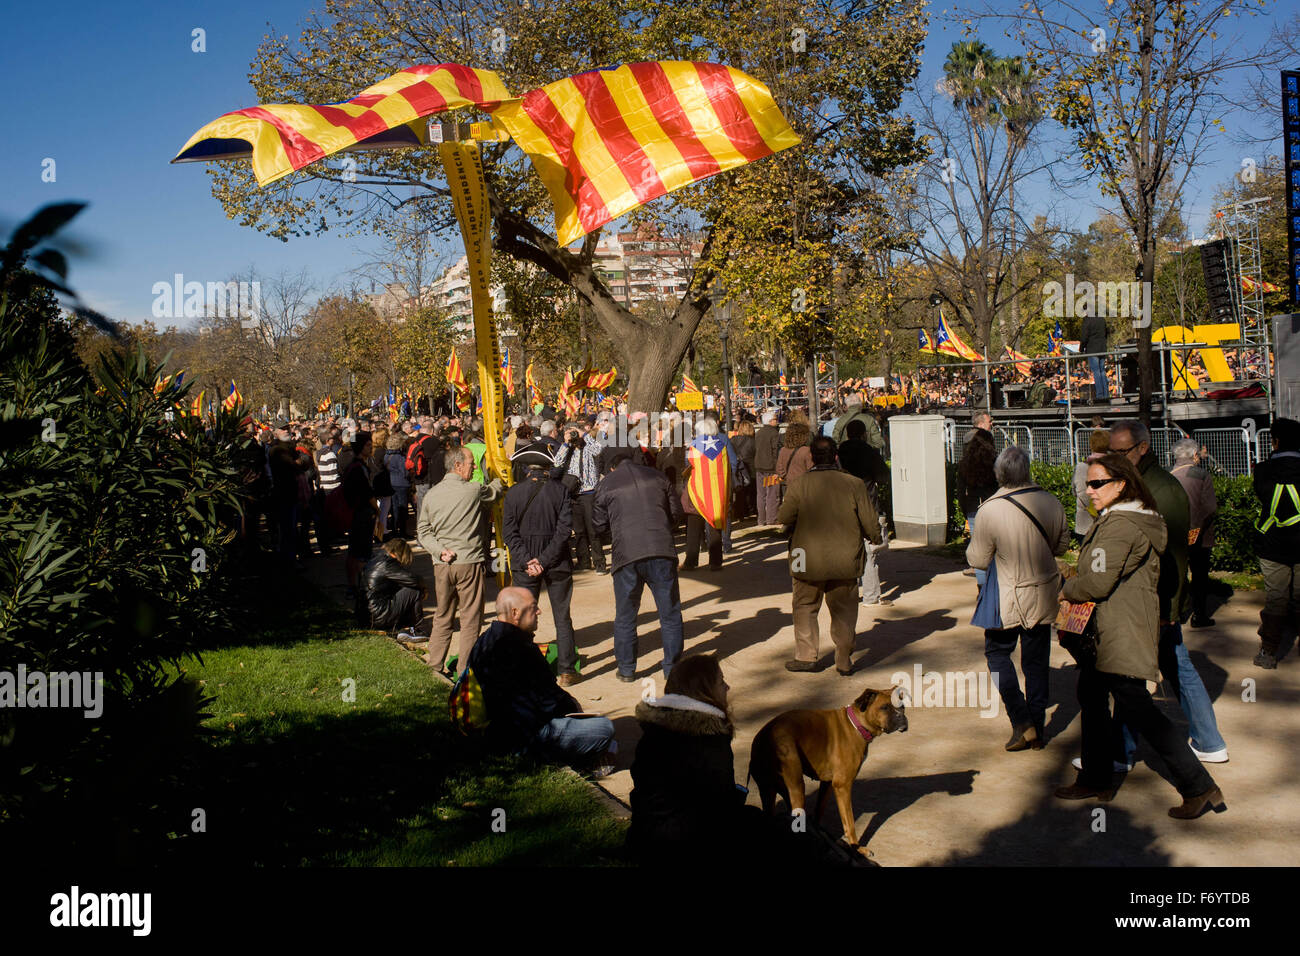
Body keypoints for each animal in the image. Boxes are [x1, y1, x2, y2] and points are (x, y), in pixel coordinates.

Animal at [748, 686, 909, 848]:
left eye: (902, 706)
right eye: (885, 707)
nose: (901, 716)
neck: (856, 725)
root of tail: (763, 739)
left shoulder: (827, 784)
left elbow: (819, 811)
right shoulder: (842, 786)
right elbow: (849, 823)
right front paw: (856, 847)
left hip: (770, 791)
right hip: (796, 789)